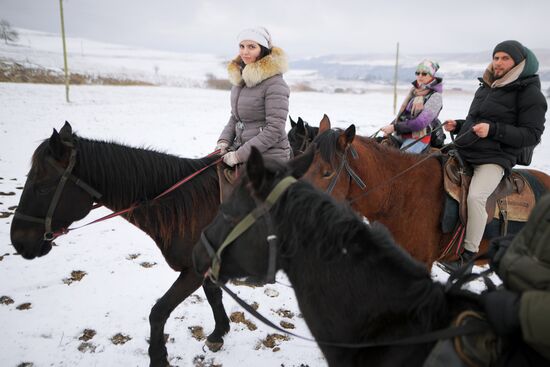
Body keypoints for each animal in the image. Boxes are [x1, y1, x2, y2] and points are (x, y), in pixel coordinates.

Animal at [10, 123, 231, 367]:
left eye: (42, 188)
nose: (18, 242)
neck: (189, 205)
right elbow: (212, 295)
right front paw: (219, 332)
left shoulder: (193, 272)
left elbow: (158, 312)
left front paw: (158, 358)